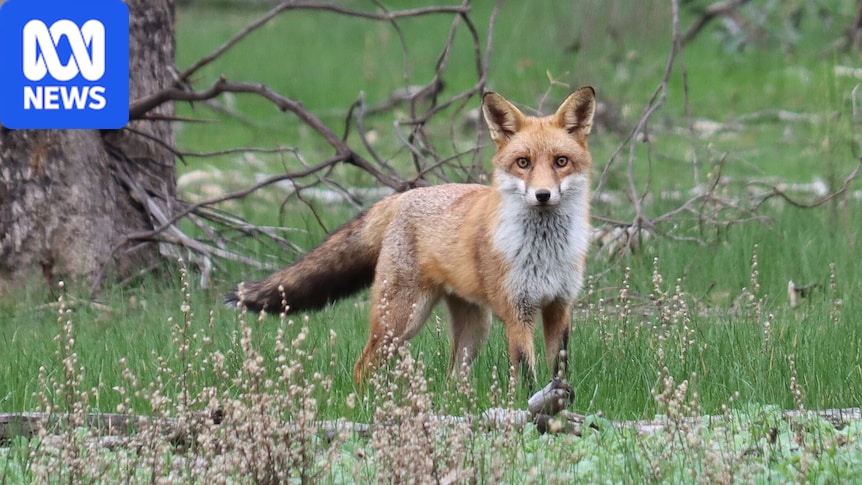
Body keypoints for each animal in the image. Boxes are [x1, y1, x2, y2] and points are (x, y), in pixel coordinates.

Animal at [226, 87, 596, 385]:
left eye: (561, 161)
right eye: (523, 163)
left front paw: (558, 404)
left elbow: (560, 370)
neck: (545, 251)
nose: (543, 195)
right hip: (402, 318)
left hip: (475, 328)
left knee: (452, 378)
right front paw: (532, 407)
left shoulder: (560, 306)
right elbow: (527, 375)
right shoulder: (518, 312)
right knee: (363, 366)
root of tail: (403, 195)